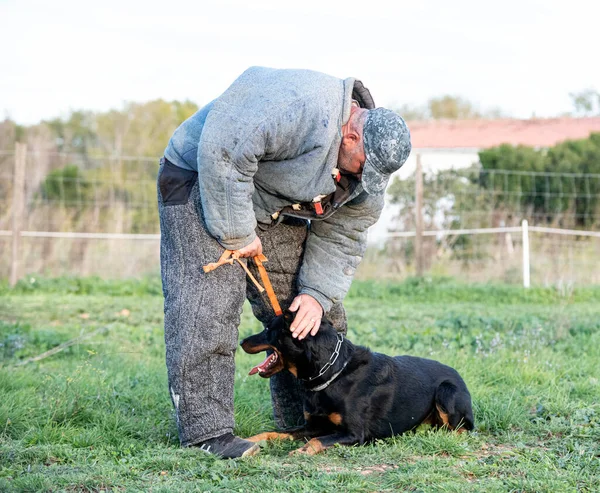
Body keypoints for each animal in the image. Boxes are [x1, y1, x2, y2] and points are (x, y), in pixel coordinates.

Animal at [239, 312, 474, 454]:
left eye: (268, 329)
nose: (241, 341)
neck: (332, 372)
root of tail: (460, 377)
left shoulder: (353, 434)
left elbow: (315, 441)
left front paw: (302, 451)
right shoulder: (314, 425)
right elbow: (278, 433)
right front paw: (253, 439)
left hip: (447, 392)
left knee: (464, 430)